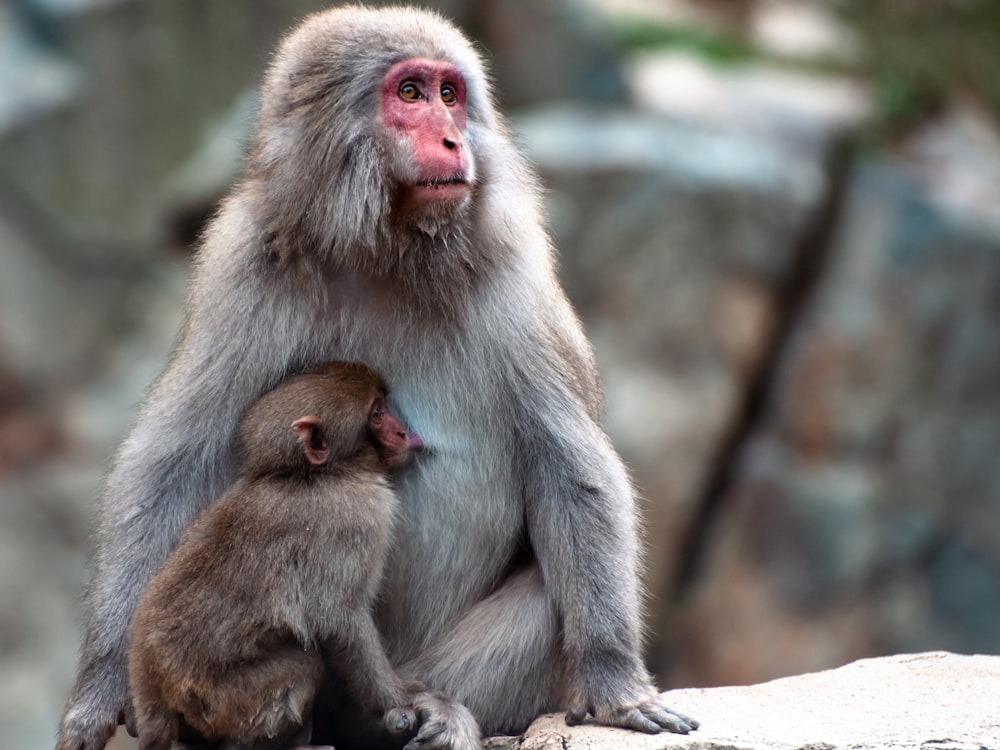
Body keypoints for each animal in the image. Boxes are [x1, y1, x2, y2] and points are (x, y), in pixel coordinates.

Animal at [129, 362, 476, 748]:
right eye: (376, 413)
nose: (403, 431)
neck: (311, 474)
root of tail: (149, 685)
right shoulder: (357, 519)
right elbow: (338, 618)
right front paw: (398, 698)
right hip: (220, 698)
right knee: (304, 664)